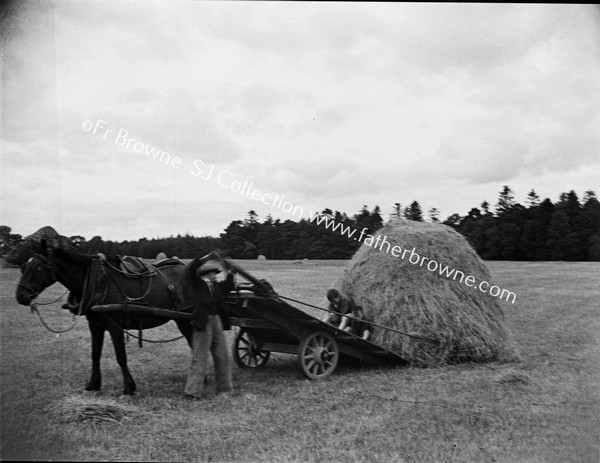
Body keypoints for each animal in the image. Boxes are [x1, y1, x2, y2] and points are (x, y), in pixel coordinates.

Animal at [15, 241, 199, 396]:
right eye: (23, 267)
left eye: (39, 268)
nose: (20, 296)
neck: (98, 282)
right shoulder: (95, 325)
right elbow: (95, 354)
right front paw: (93, 384)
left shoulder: (114, 326)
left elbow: (120, 356)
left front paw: (129, 388)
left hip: (185, 319)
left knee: (194, 343)